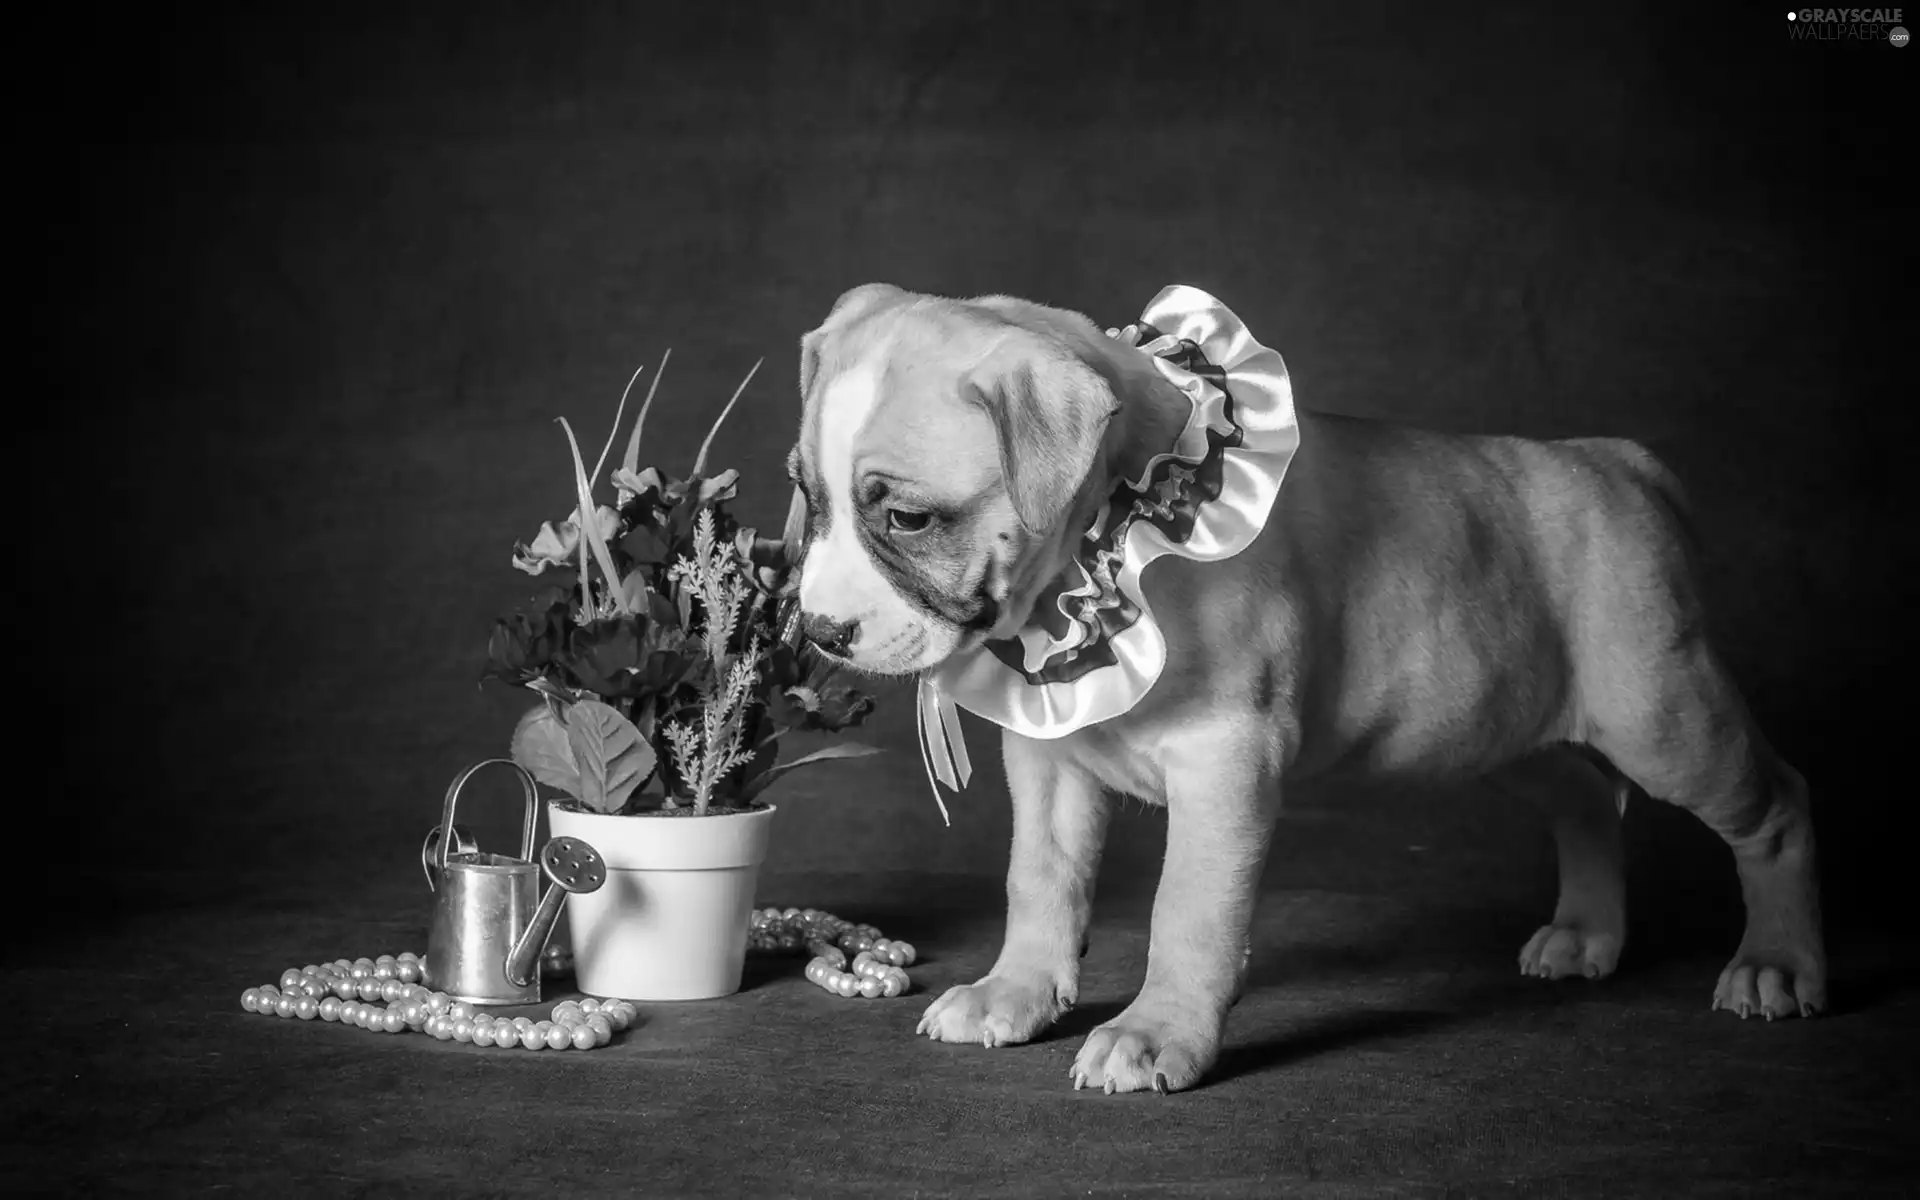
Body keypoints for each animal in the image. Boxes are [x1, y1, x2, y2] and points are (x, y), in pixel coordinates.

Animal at [783, 282, 1827, 1098]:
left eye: (910, 520)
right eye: (812, 498)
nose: (820, 629)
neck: (1117, 526)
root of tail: (1615, 461)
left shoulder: (1224, 762)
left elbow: (1188, 910)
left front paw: (1156, 1034)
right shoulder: (1051, 762)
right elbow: (1040, 880)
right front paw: (1018, 993)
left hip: (1662, 713)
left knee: (1774, 806)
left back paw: (1776, 965)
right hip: (1513, 725)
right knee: (1583, 799)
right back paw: (1584, 936)